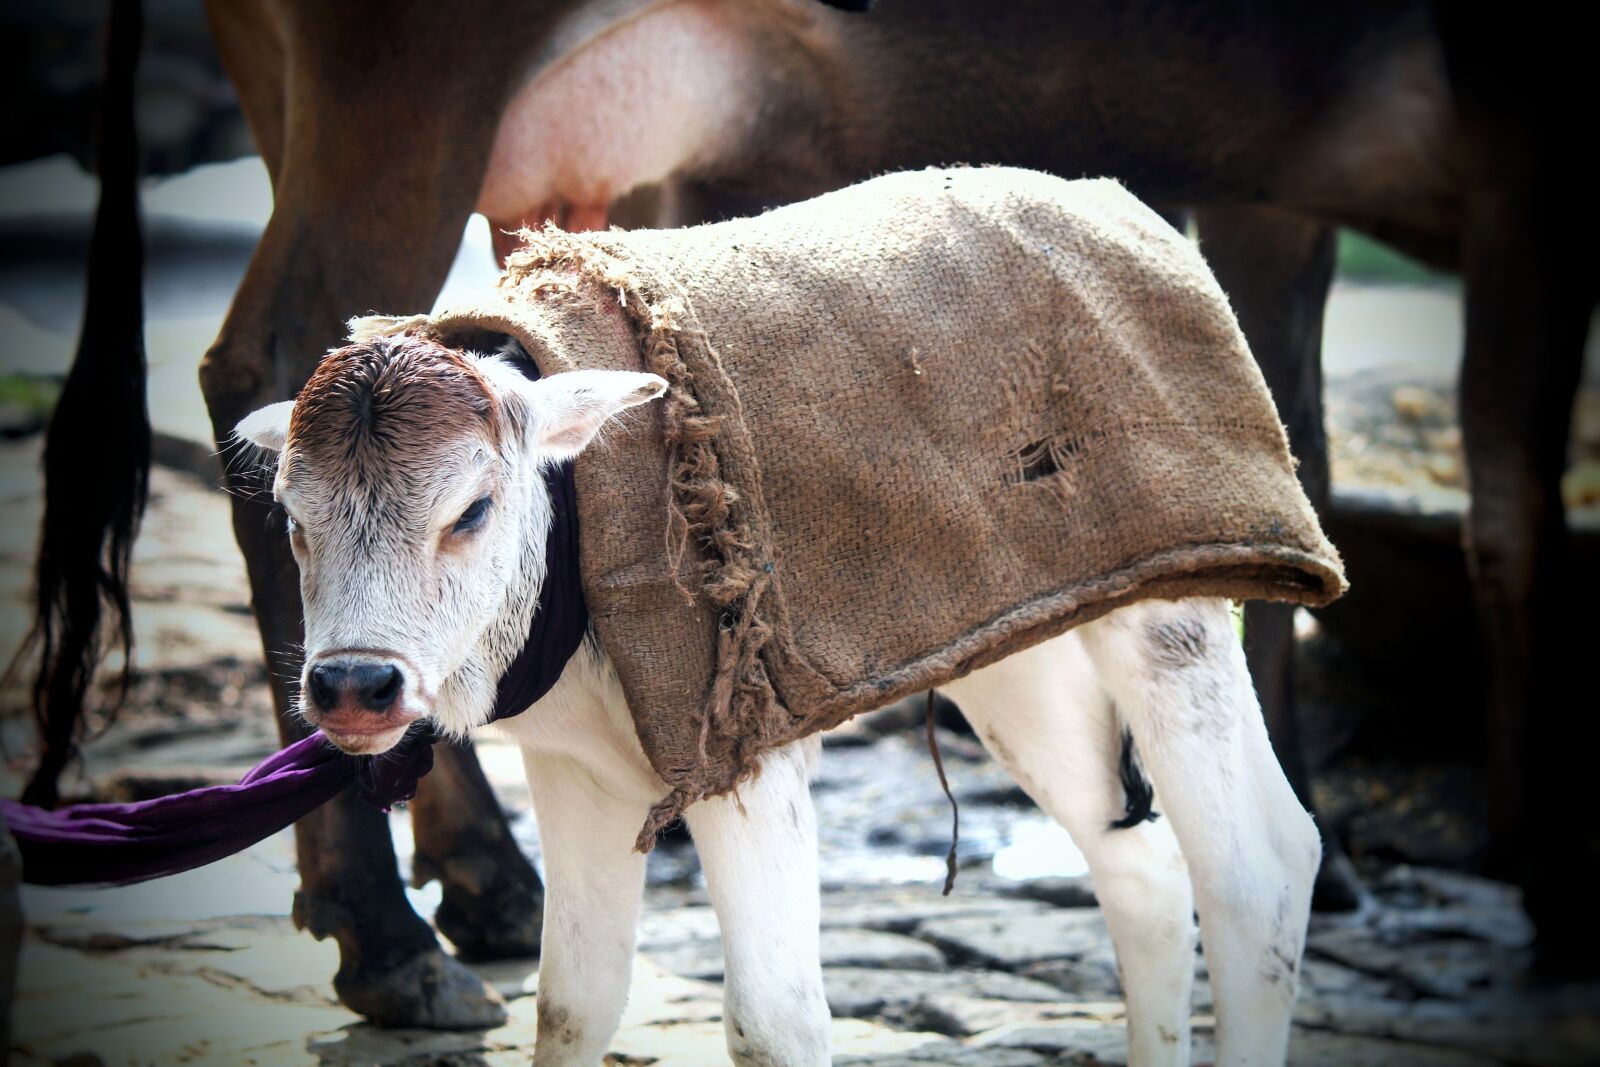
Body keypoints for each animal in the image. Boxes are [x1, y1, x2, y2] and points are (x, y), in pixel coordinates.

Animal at [22, 0, 1594, 1026]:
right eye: (295, 514)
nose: (353, 684)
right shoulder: (591, 778)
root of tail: (1110, 201)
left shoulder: (740, 752)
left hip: (1154, 614)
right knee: (1146, 870)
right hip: (1018, 639)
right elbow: (577, 1010)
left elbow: (772, 1017)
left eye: (472, 506)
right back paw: (413, 926)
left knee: (1253, 866)